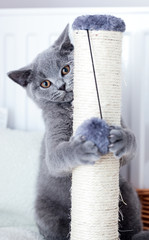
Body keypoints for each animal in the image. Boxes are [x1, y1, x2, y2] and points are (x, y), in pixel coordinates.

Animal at [7, 24, 148, 240]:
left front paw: (121, 139)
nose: (61, 85)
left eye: (65, 69)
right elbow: (58, 157)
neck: (71, 108)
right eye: (45, 83)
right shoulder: (53, 140)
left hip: (127, 192)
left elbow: (130, 146)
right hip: (46, 213)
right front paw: (81, 149)